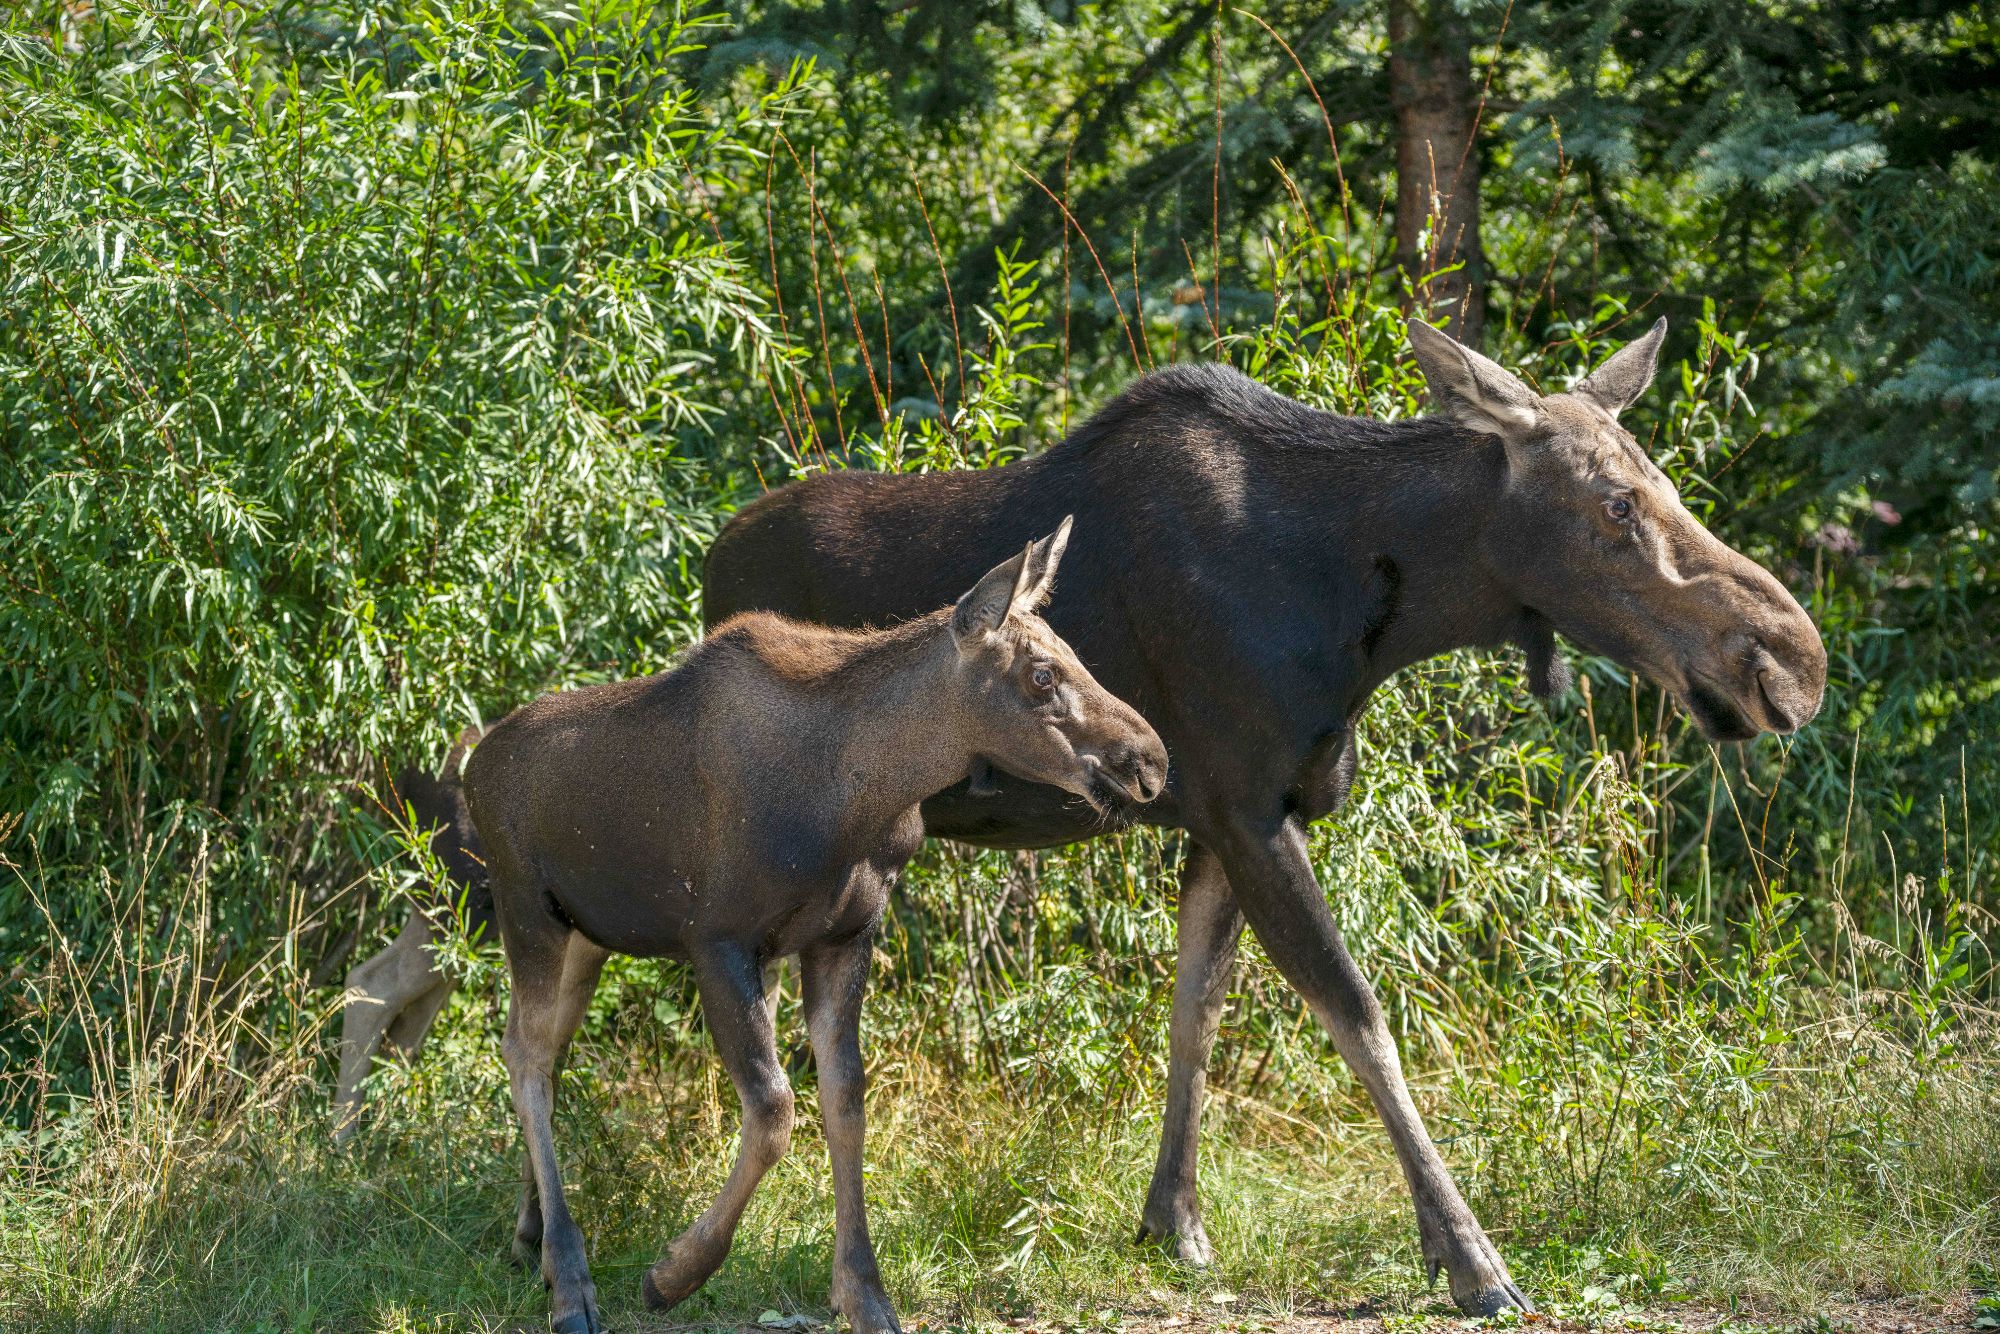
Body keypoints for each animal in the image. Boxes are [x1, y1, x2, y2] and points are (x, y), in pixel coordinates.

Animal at [460, 520, 1168, 1334]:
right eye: (1043, 674)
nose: (1150, 759)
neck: (856, 798)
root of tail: (471, 768)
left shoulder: (841, 937)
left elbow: (845, 1101)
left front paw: (863, 1292)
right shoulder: (718, 938)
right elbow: (774, 1108)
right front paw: (674, 1273)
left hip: (584, 938)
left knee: (543, 1053)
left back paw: (532, 1240)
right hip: (526, 911)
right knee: (524, 1055)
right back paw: (572, 1279)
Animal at [704, 318, 1832, 1320]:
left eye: (1663, 487)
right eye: (1615, 503)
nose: (1789, 657)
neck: (1365, 606)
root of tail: (711, 559)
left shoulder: (1222, 818)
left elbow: (1195, 1009)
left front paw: (1173, 1221)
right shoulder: (1246, 809)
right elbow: (1358, 1014)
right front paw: (1471, 1257)